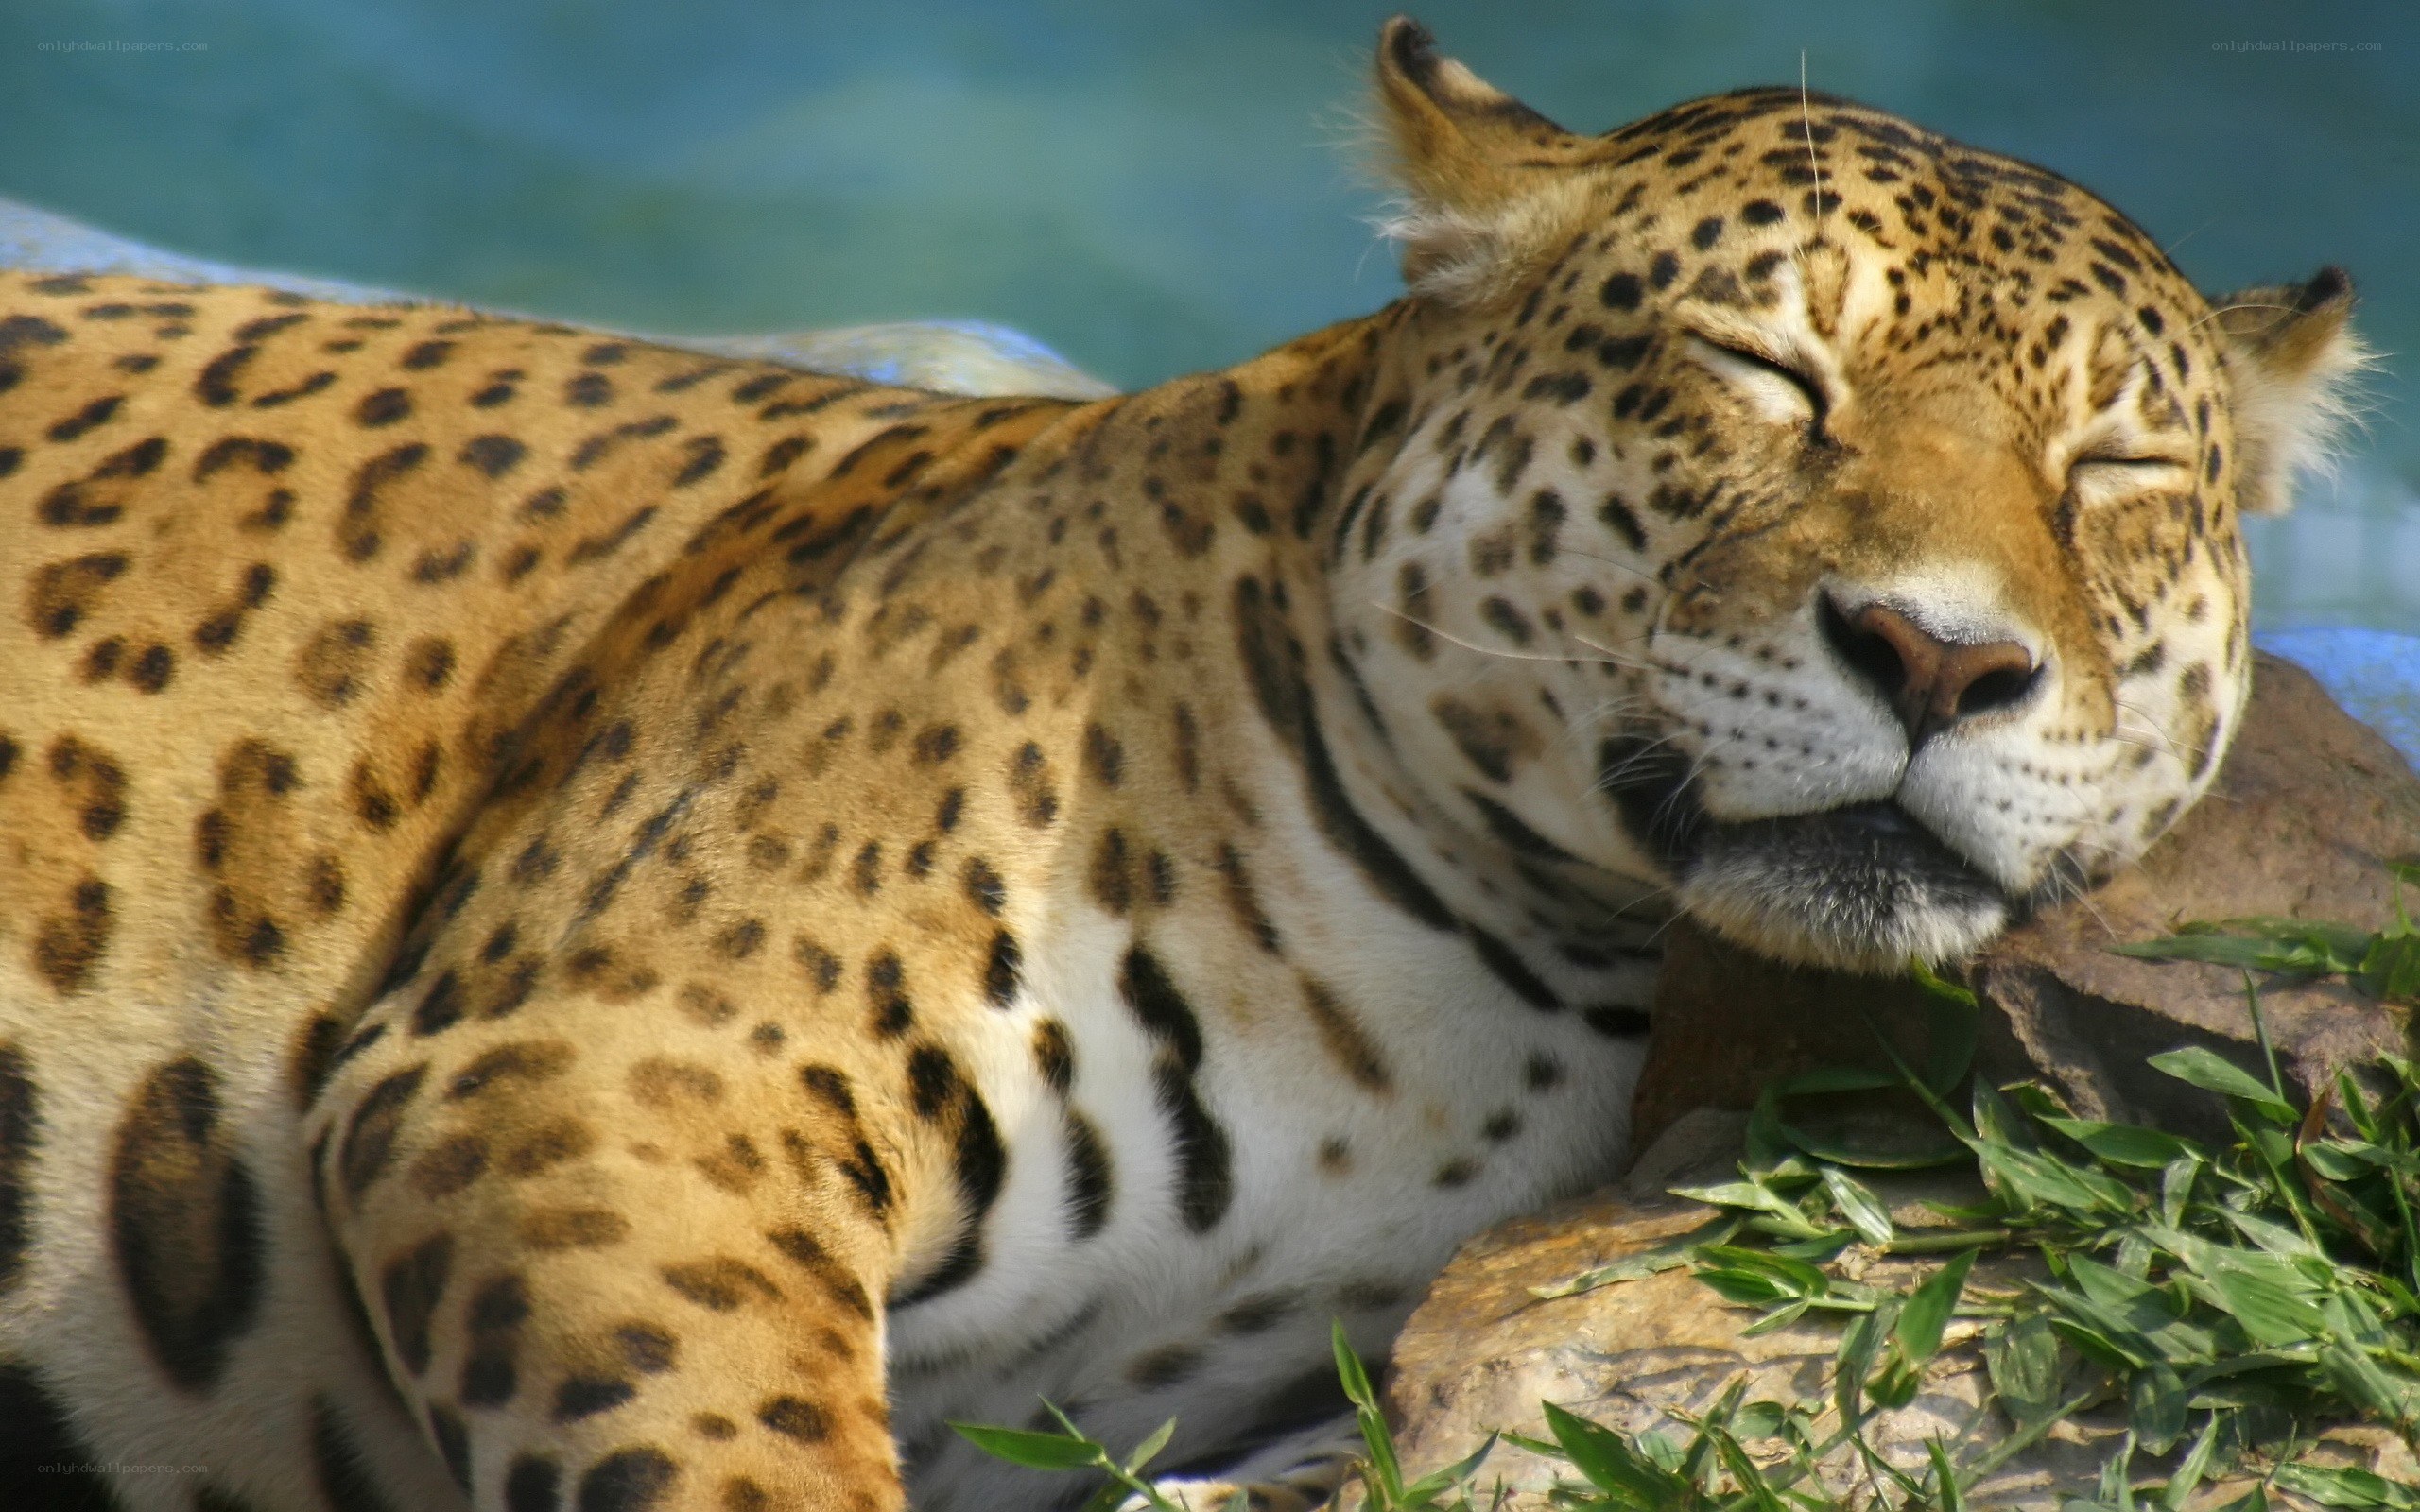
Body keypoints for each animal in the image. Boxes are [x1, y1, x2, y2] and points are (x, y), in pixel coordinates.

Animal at [0, 17, 2365, 1512]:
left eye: (2112, 475)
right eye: (1764, 371)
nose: (1934, 652)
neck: (1513, 967)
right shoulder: (598, 1058)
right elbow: (737, 1451)